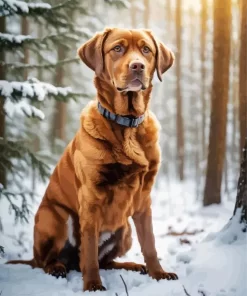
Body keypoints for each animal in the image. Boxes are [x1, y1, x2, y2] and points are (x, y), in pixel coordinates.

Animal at [7, 27, 178, 292]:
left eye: (146, 50)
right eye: (117, 48)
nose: (137, 66)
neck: (127, 125)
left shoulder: (144, 196)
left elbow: (149, 243)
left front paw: (158, 274)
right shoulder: (90, 196)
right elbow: (88, 250)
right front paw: (93, 285)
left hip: (125, 230)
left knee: (105, 260)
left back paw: (132, 266)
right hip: (55, 216)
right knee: (48, 260)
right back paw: (57, 267)